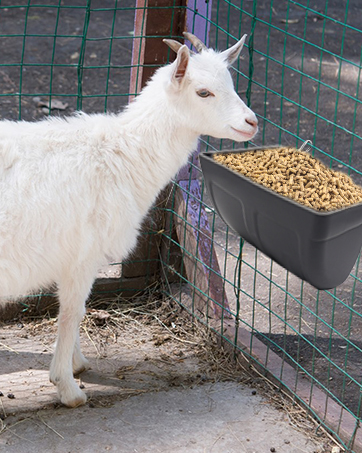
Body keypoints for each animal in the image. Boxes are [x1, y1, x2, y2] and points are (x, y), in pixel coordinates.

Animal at [1, 32, 258, 406]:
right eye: (203, 92)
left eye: (231, 83)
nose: (252, 122)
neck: (121, 153)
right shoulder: (82, 254)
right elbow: (71, 312)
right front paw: (68, 387)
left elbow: (73, 310)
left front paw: (76, 364)